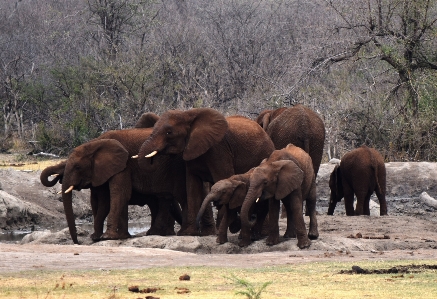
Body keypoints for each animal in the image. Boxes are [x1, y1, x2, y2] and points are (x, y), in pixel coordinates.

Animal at [39, 125, 186, 245]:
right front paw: (109, 237)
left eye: (77, 167)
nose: (77, 242)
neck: (95, 143)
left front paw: (106, 237)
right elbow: (97, 201)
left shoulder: (123, 165)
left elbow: (117, 195)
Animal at [137, 108, 272, 237]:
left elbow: (223, 178)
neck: (187, 114)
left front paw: (229, 227)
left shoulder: (219, 149)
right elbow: (192, 187)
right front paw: (189, 233)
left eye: (169, 132)